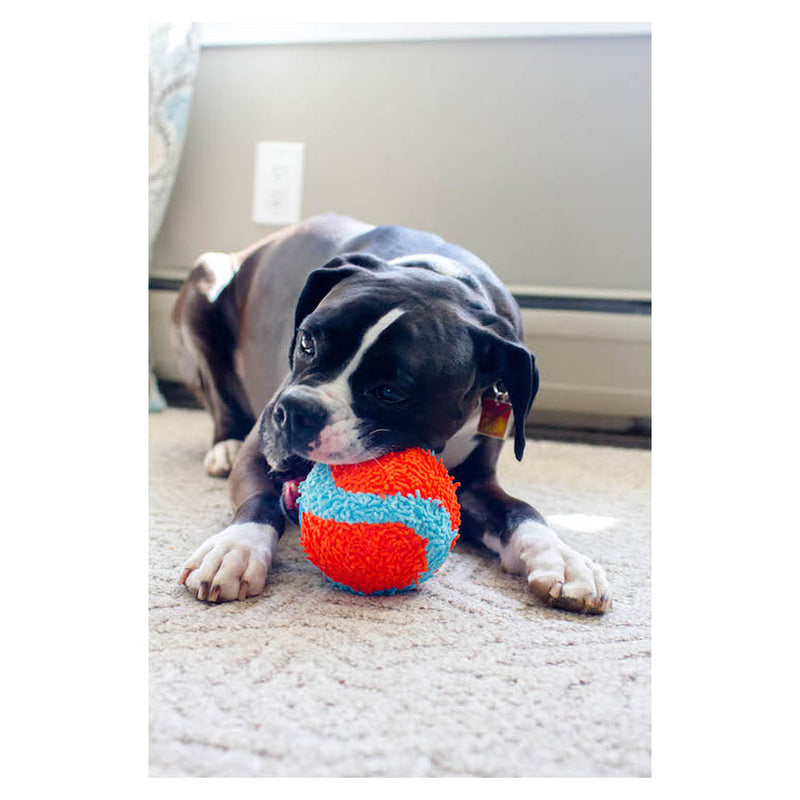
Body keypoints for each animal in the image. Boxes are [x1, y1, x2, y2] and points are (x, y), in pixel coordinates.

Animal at [172, 212, 612, 612]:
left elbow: (521, 511)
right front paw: (235, 547)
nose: (296, 411)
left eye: (390, 393)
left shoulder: (476, 484)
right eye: (307, 342)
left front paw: (563, 558)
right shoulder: (260, 451)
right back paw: (224, 445)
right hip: (205, 282)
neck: (441, 275)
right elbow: (260, 501)